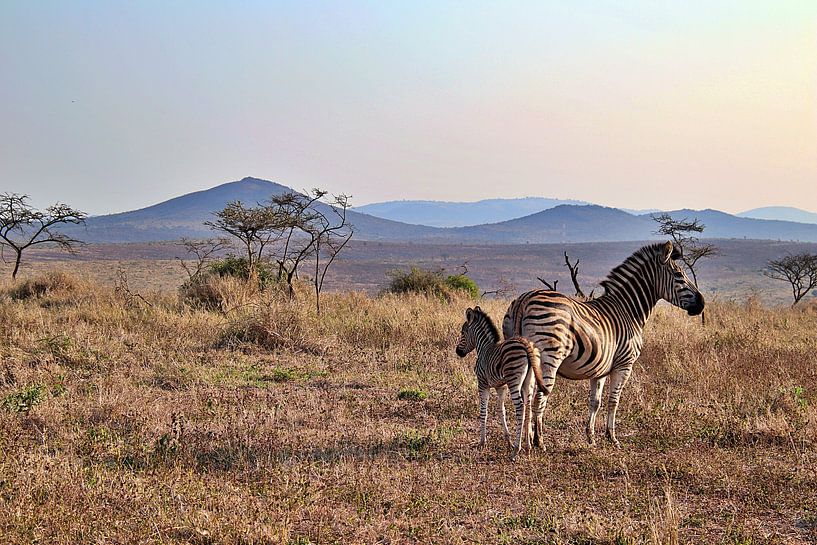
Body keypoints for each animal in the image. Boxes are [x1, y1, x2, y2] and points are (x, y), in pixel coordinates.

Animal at [455, 306, 546, 457]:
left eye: (463, 332)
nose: (458, 352)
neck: (484, 348)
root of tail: (526, 344)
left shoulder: (483, 384)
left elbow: (483, 411)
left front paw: (482, 442)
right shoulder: (501, 387)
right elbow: (501, 410)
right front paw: (508, 441)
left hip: (513, 380)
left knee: (520, 407)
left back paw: (516, 450)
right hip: (529, 382)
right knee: (528, 407)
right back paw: (527, 447)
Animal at [502, 241, 704, 449]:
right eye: (679, 275)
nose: (702, 304)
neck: (629, 311)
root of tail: (525, 299)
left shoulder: (599, 368)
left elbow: (595, 401)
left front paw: (591, 437)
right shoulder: (624, 364)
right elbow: (613, 400)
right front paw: (612, 437)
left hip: (521, 359)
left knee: (526, 396)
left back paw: (526, 442)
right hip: (549, 357)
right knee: (538, 397)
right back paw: (539, 441)